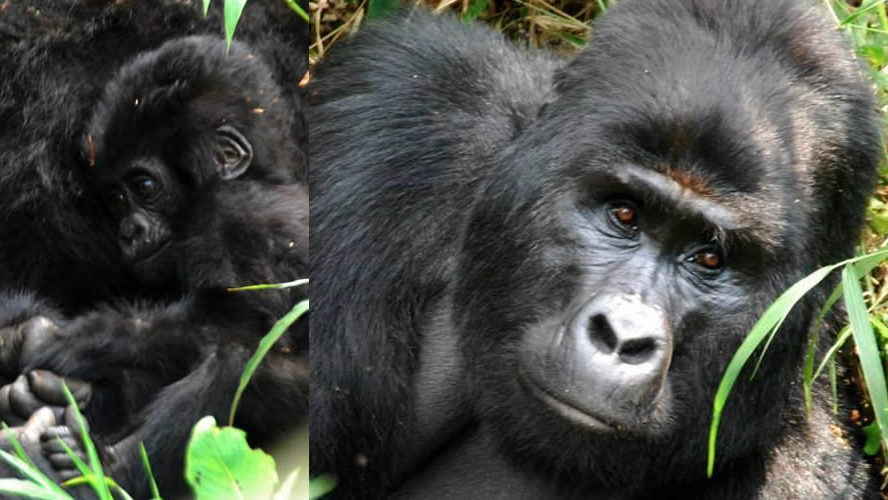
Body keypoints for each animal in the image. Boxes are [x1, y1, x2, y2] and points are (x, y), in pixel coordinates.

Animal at [0, 35, 308, 496]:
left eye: (145, 187)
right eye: (115, 199)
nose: (127, 232)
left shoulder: (232, 218)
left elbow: (243, 325)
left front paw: (58, 339)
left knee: (238, 358)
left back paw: (102, 471)